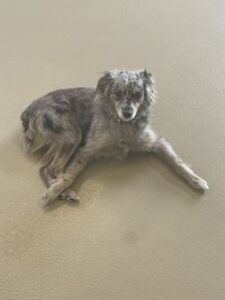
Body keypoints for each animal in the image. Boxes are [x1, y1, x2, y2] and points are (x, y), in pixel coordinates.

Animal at [20, 70, 208, 206]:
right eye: (117, 93)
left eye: (138, 94)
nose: (127, 112)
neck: (124, 126)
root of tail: (29, 110)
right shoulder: (86, 150)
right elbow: (70, 176)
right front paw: (53, 191)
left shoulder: (156, 142)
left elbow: (177, 161)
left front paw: (195, 179)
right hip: (73, 134)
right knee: (50, 169)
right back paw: (63, 192)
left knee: (49, 169)